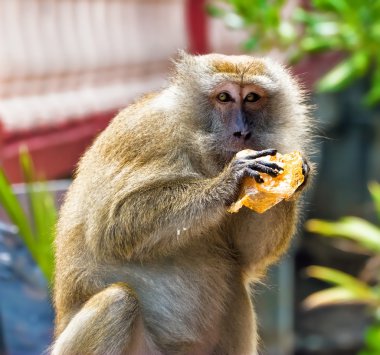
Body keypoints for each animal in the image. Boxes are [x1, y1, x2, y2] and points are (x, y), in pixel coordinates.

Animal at [51, 50, 312, 355]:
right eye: (224, 97)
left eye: (251, 98)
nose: (241, 132)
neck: (194, 138)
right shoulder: (150, 136)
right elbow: (113, 225)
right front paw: (230, 180)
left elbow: (245, 255)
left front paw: (295, 176)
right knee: (117, 302)